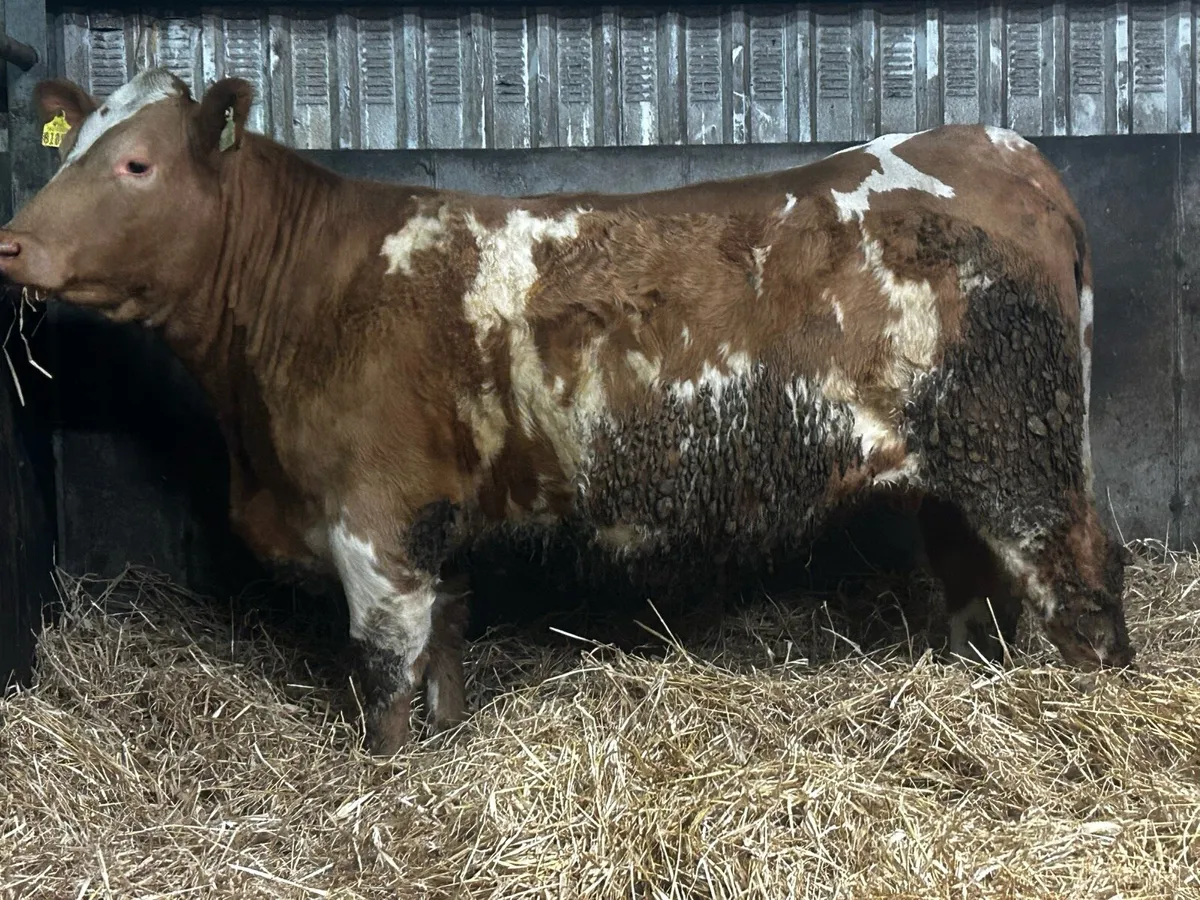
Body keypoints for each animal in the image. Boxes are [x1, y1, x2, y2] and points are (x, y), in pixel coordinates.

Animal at [0, 68, 1134, 757]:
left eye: (136, 163)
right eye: (66, 150)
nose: (12, 243)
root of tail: (1000, 148)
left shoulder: (377, 523)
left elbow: (388, 676)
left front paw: (383, 785)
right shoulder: (435, 525)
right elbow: (444, 654)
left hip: (1023, 459)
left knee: (1082, 587)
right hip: (957, 469)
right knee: (974, 591)